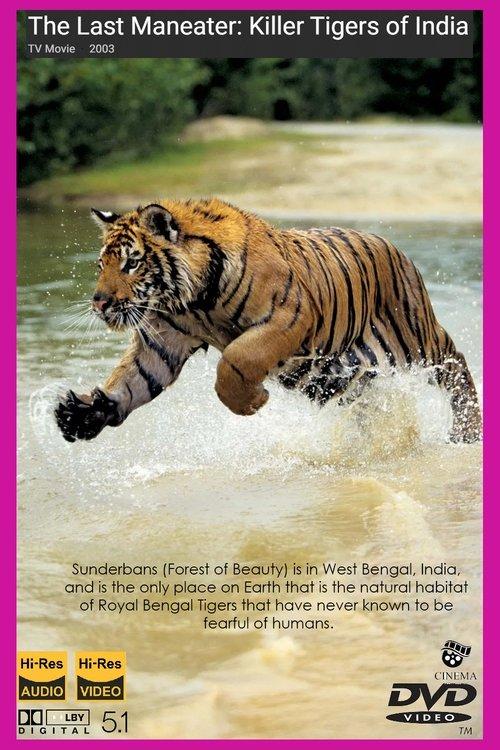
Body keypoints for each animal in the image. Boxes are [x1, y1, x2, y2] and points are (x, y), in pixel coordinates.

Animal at [54, 198, 482, 444]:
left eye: (132, 263)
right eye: (101, 265)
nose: (100, 303)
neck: (193, 301)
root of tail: (395, 247)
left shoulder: (288, 318)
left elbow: (236, 360)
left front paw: (251, 402)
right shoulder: (163, 341)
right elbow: (133, 380)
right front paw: (81, 415)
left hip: (414, 338)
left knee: (456, 363)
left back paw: (467, 432)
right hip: (337, 375)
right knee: (367, 403)